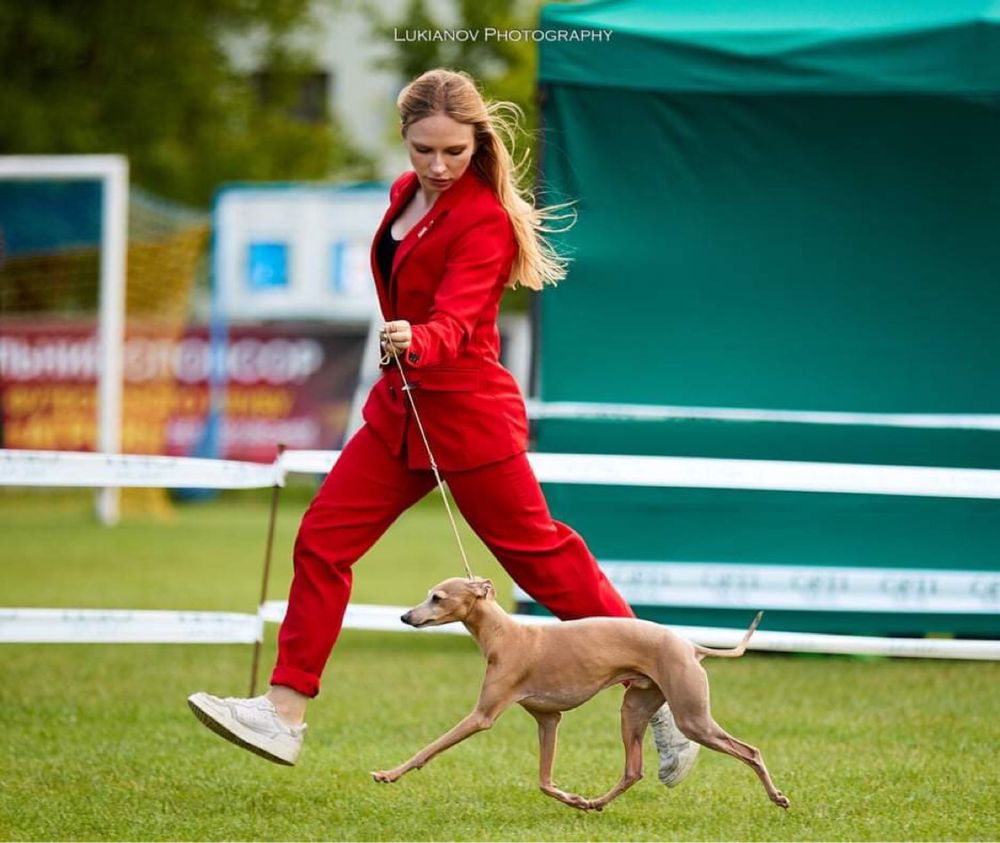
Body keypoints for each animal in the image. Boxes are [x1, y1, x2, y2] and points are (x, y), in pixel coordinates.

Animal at [370, 576, 788, 808]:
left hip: (693, 717)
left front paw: (388, 774)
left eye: (437, 597)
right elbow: (544, 781)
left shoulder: (482, 716)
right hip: (634, 708)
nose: (405, 617)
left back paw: (778, 798)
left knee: (750, 751)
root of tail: (691, 645)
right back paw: (593, 803)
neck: (505, 634)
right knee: (633, 771)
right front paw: (571, 798)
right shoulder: (548, 719)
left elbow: (429, 748)